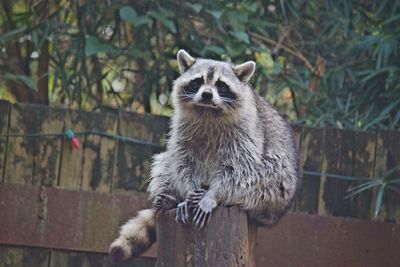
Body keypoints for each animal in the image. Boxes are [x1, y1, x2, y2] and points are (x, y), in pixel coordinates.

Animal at [109, 49, 300, 262]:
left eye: (221, 85)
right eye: (198, 81)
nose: (207, 94)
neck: (208, 111)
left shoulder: (246, 132)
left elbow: (240, 167)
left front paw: (213, 195)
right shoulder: (182, 128)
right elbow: (182, 160)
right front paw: (187, 193)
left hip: (278, 189)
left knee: (268, 171)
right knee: (166, 160)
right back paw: (173, 198)